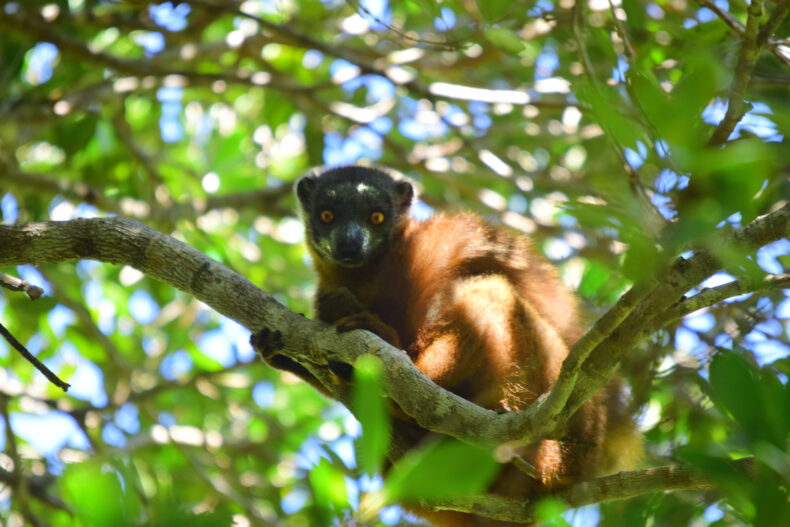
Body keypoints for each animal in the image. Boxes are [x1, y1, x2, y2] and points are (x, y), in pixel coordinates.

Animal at [252, 164, 642, 526]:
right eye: (327, 214)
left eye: (376, 217)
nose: (349, 242)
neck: (371, 274)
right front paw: (289, 354)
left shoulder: (439, 242)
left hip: (553, 424)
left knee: (490, 292)